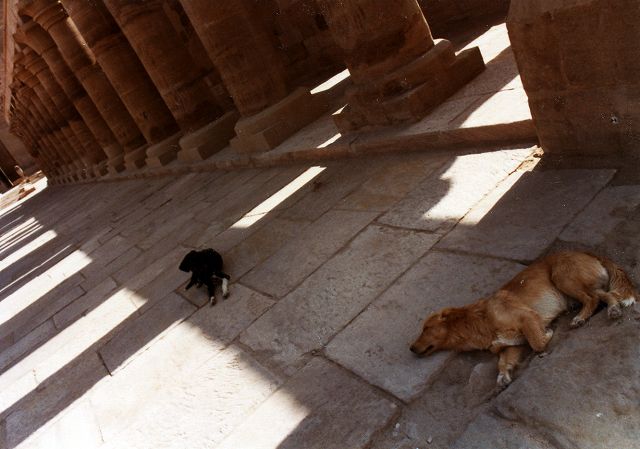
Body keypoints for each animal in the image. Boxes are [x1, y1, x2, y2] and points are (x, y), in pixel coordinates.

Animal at [410, 250, 636, 386]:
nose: (411, 349)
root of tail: (587, 252)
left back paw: (587, 316)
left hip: (562, 277)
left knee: (595, 298)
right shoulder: (511, 345)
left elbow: (537, 343)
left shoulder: (526, 317)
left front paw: (547, 334)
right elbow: (502, 361)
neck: (480, 321)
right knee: (604, 295)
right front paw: (503, 375)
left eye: (425, 329)